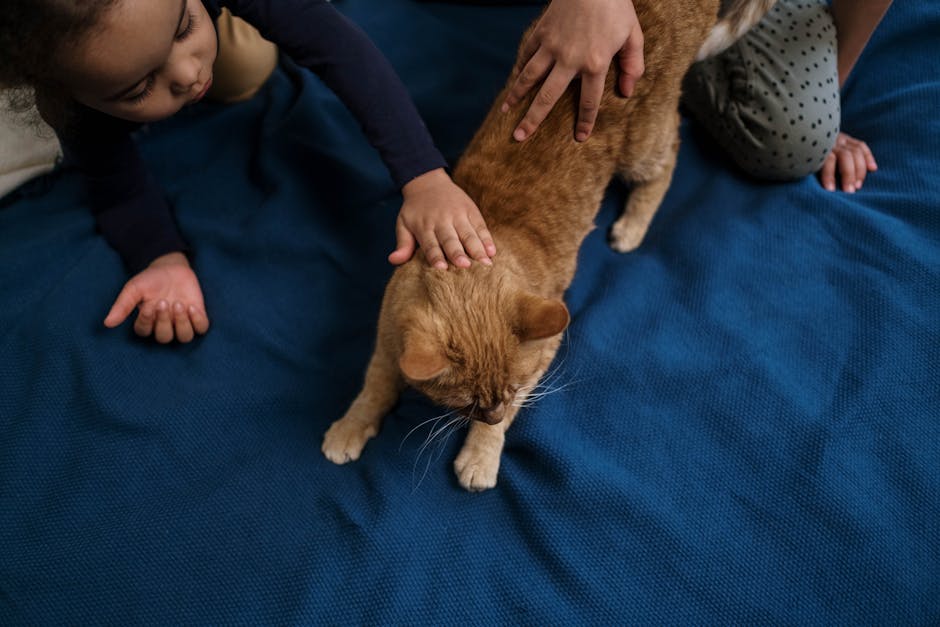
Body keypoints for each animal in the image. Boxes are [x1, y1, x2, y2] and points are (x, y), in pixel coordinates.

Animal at [322, 0, 772, 490]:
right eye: (467, 401)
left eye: (509, 392)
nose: (491, 415)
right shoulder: (387, 343)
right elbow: (374, 386)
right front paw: (350, 426)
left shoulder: (544, 352)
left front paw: (480, 454)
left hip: (644, 139)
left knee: (671, 147)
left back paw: (631, 228)